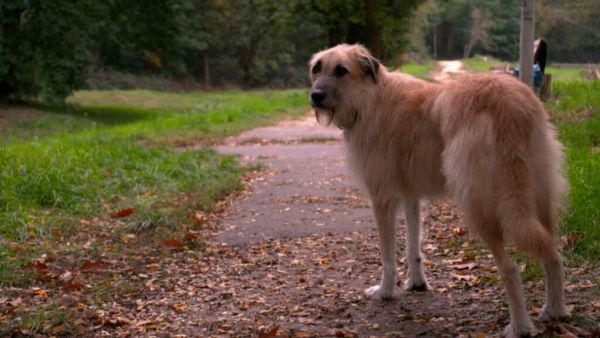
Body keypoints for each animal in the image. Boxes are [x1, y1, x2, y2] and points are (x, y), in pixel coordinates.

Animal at [310, 43, 568, 336]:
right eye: (316, 68)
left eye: (341, 70)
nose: (315, 96)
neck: (370, 97)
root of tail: (507, 102)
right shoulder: (410, 195)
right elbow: (413, 246)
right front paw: (416, 283)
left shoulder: (382, 199)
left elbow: (387, 255)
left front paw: (385, 291)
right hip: (539, 196)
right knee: (552, 254)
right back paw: (555, 310)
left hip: (478, 202)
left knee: (511, 268)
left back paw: (520, 326)